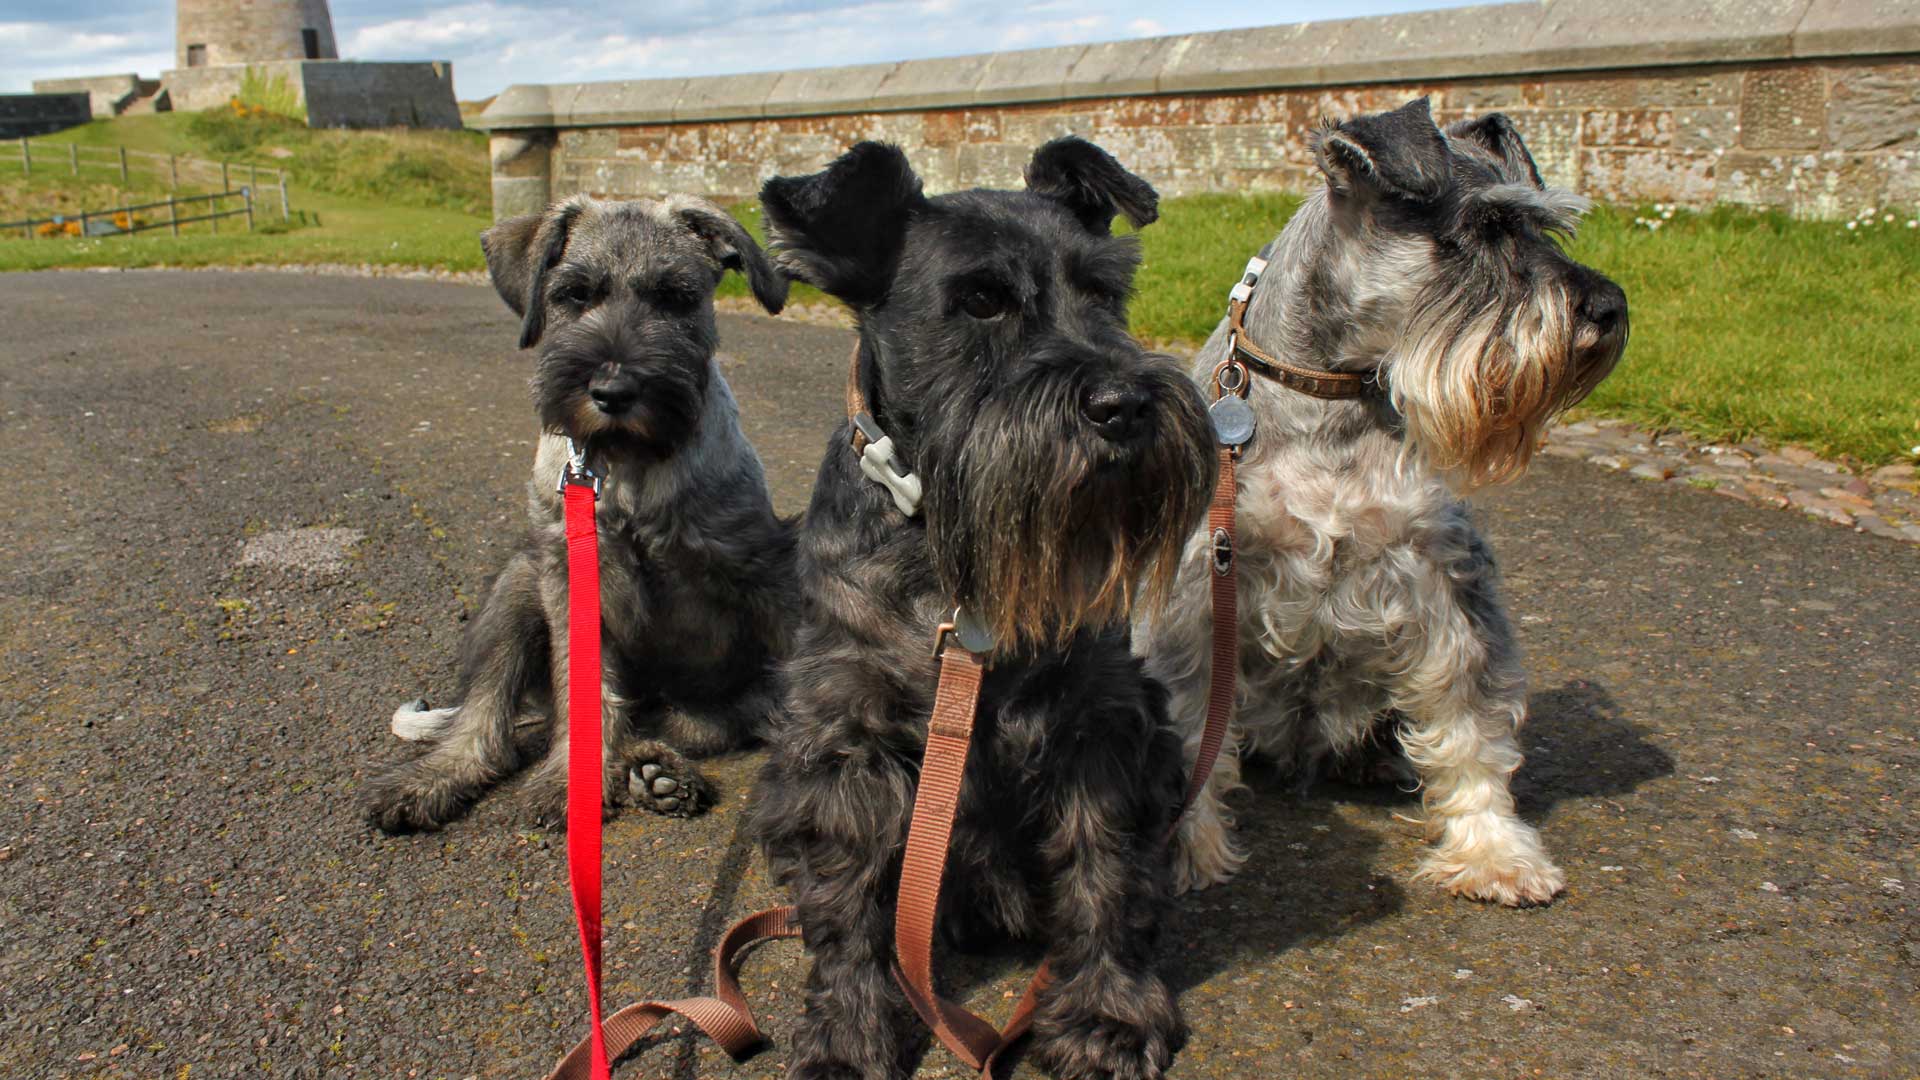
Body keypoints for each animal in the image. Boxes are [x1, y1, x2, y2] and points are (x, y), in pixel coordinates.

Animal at [366, 193, 794, 826]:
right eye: (573, 294)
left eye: (675, 298)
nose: (613, 392)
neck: (629, 463)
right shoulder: (570, 584)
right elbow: (583, 690)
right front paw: (571, 781)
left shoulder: (763, 570)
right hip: (518, 589)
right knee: (486, 714)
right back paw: (435, 778)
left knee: (702, 721)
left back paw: (661, 772)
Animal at [752, 141, 1213, 1076]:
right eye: (981, 300)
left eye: (1105, 291)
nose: (1125, 406)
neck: (945, 545)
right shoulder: (844, 736)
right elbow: (846, 902)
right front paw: (848, 1033)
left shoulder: (1100, 722)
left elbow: (1105, 871)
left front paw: (1106, 1013)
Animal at [1128, 100, 1628, 903]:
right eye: (1483, 228)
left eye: (1542, 227)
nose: (1609, 309)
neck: (1329, 399)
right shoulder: (1200, 593)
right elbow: (1188, 717)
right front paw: (1189, 849)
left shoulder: (1439, 580)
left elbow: (1469, 722)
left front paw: (1494, 850)